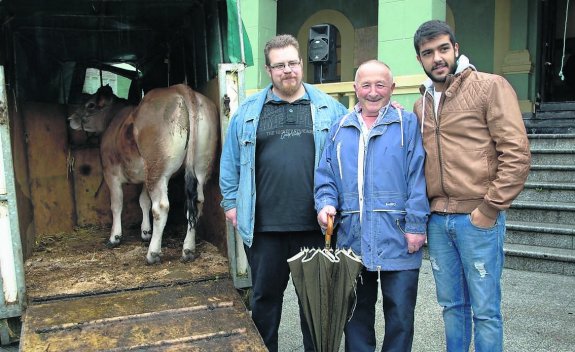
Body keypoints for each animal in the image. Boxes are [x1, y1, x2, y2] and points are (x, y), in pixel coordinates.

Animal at [68, 84, 220, 262]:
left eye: (90, 105)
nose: (70, 119)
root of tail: (180, 88)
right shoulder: (145, 177)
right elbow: (143, 201)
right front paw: (146, 232)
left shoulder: (111, 173)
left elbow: (117, 204)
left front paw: (115, 237)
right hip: (200, 166)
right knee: (197, 202)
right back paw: (188, 250)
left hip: (158, 170)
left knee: (160, 207)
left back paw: (152, 254)